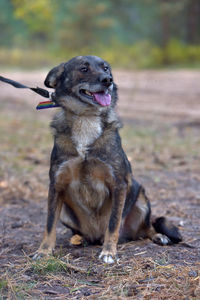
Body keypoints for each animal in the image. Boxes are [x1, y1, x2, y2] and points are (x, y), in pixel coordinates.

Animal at [33, 55, 183, 262]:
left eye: (106, 69)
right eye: (84, 69)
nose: (107, 80)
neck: (87, 118)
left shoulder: (118, 184)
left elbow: (113, 224)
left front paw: (109, 252)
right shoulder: (57, 184)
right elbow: (49, 224)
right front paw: (44, 251)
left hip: (141, 198)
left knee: (147, 227)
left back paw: (158, 236)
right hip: (65, 211)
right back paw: (79, 239)